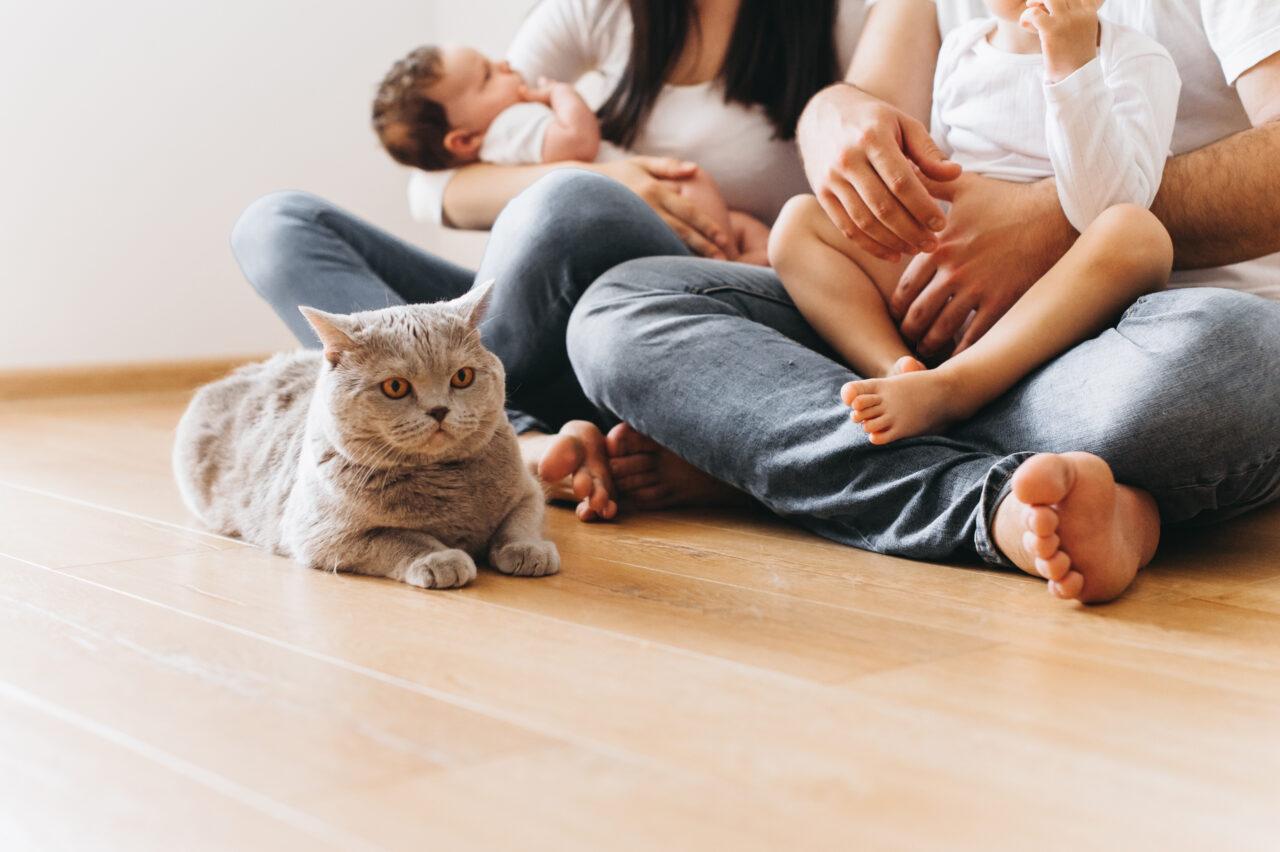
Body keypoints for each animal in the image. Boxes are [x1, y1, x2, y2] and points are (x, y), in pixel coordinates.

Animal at [170, 281, 555, 588]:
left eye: (462, 377)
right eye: (396, 387)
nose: (439, 410)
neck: (446, 481)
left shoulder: (528, 490)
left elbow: (520, 521)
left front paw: (528, 549)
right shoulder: (321, 535)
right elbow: (398, 538)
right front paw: (440, 559)